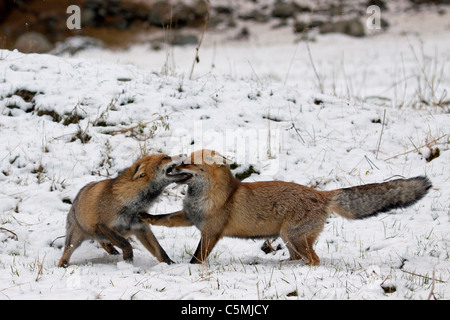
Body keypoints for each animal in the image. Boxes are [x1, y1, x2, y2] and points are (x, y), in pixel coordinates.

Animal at [57, 154, 188, 268]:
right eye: (165, 158)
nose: (184, 154)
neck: (133, 205)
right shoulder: (104, 225)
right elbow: (126, 244)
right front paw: (128, 260)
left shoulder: (141, 228)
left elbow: (160, 251)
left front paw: (171, 265)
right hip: (75, 239)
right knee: (65, 254)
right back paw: (63, 265)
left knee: (103, 242)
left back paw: (113, 252)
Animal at [138, 150, 432, 264]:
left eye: (189, 163)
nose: (172, 165)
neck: (204, 197)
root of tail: (321, 194)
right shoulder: (189, 217)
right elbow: (164, 218)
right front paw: (145, 215)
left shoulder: (211, 231)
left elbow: (197, 257)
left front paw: (188, 269)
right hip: (288, 238)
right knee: (298, 258)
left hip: (293, 236)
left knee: (313, 260)